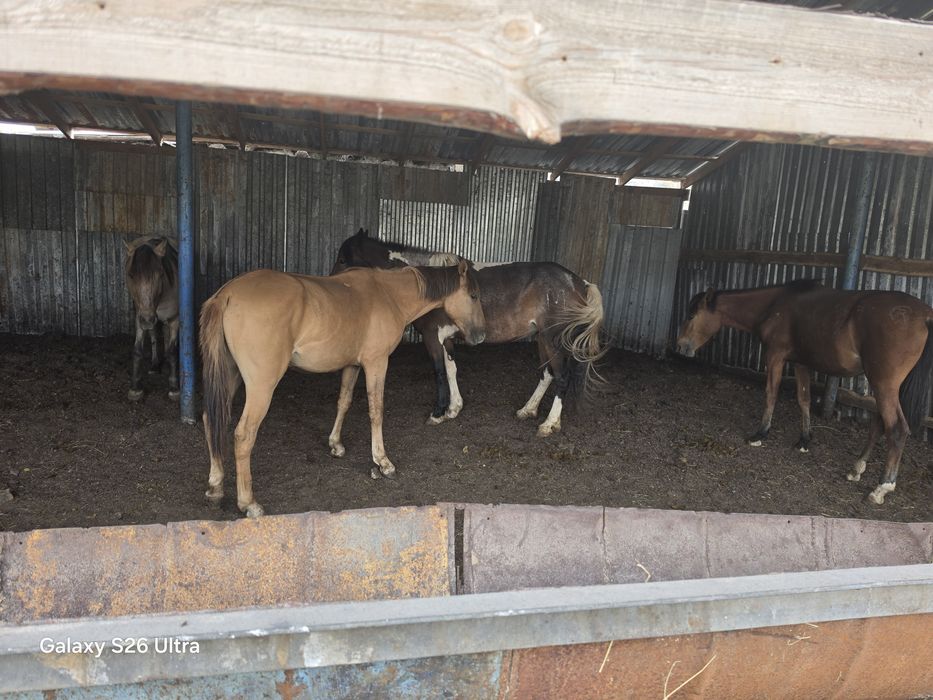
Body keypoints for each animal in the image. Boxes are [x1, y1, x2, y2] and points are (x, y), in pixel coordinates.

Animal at [124, 236, 179, 401]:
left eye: (160, 274)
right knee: (154, 335)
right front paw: (135, 388)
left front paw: (174, 388)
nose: (148, 319)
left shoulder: (174, 319)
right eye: (131, 275)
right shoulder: (140, 318)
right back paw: (155, 365)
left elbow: (172, 351)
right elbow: (137, 350)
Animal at [199, 261, 485, 517]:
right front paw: (382, 462)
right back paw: (248, 503)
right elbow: (376, 410)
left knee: (210, 419)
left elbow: (343, 402)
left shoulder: (352, 366)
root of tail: (227, 294)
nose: (480, 336)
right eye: (473, 295)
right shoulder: (376, 363)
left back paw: (215, 487)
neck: (388, 294)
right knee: (244, 434)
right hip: (261, 385)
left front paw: (335, 444)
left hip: (230, 376)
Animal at [332, 229, 605, 437]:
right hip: (541, 338)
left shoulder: (432, 337)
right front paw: (453, 408)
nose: (332, 283)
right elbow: (451, 369)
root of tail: (580, 282)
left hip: (552, 339)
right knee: (547, 374)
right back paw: (527, 410)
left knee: (562, 376)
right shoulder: (446, 339)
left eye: (343, 259)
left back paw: (549, 424)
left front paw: (438, 412)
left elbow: (439, 371)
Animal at [675, 279, 933, 504]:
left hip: (883, 384)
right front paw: (804, 439)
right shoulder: (801, 363)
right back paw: (856, 468)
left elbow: (771, 394)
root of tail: (924, 315)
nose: (680, 346)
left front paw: (760, 434)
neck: (774, 304)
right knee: (879, 424)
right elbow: (804, 399)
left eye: (691, 315)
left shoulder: (776, 356)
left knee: (896, 429)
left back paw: (882, 487)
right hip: (885, 386)